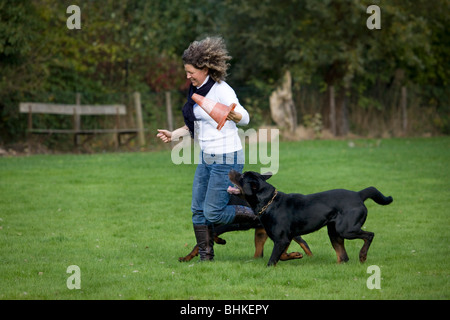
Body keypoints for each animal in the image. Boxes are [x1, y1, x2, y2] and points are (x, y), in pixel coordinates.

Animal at [230, 171, 392, 266]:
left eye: (242, 177)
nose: (231, 171)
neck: (269, 202)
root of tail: (358, 194)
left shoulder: (281, 239)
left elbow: (273, 259)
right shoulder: (287, 238)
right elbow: (282, 255)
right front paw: (296, 255)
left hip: (346, 229)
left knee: (369, 235)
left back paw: (363, 256)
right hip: (334, 232)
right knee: (343, 257)